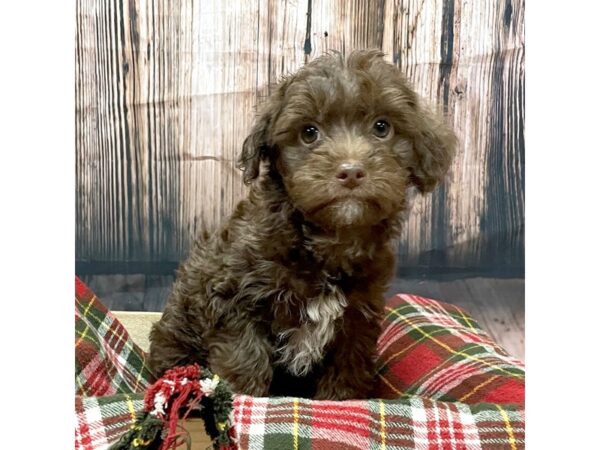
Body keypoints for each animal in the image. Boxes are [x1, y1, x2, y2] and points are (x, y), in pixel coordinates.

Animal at [149, 50, 454, 400]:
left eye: (382, 127)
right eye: (309, 133)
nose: (351, 171)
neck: (325, 241)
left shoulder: (358, 318)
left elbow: (346, 370)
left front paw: (338, 401)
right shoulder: (234, 300)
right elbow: (246, 360)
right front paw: (245, 399)